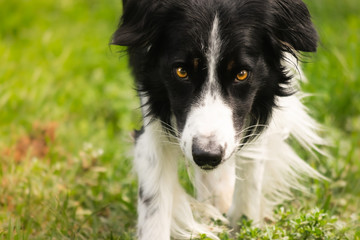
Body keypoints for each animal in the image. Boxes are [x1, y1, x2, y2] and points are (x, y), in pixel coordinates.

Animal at [112, 0, 324, 238]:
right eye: (181, 71)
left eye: (241, 74)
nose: (207, 156)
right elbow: (154, 203)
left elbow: (252, 165)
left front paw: (243, 225)